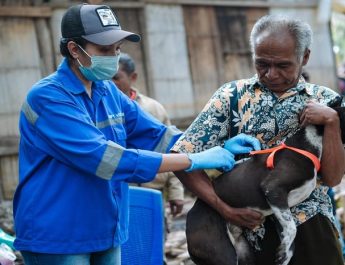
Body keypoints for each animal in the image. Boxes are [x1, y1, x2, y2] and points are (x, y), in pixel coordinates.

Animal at [185, 104, 344, 262]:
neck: (306, 147)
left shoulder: (278, 208)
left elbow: (289, 236)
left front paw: (283, 254)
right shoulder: (273, 188)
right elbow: (293, 228)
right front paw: (283, 251)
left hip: (243, 252)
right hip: (221, 252)